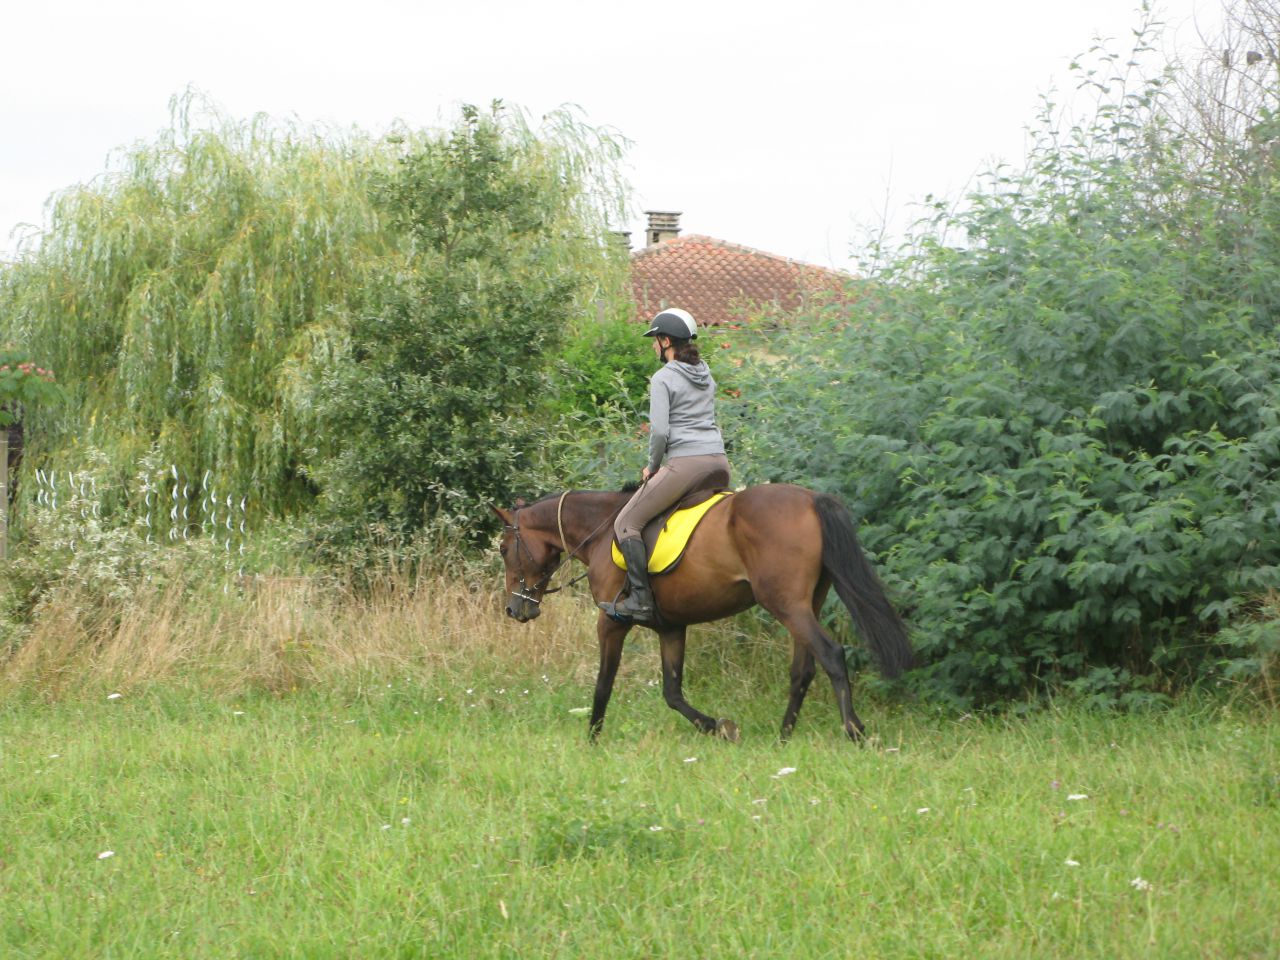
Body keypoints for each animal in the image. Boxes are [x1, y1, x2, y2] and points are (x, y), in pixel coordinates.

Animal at [492, 483, 915, 743]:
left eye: (503, 548)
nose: (515, 608)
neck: (600, 530)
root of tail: (812, 499)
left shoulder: (611, 622)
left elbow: (603, 684)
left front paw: (592, 740)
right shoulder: (671, 627)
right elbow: (672, 692)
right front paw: (719, 728)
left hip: (787, 605)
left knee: (831, 655)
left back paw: (854, 731)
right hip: (805, 605)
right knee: (803, 670)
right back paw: (784, 738)